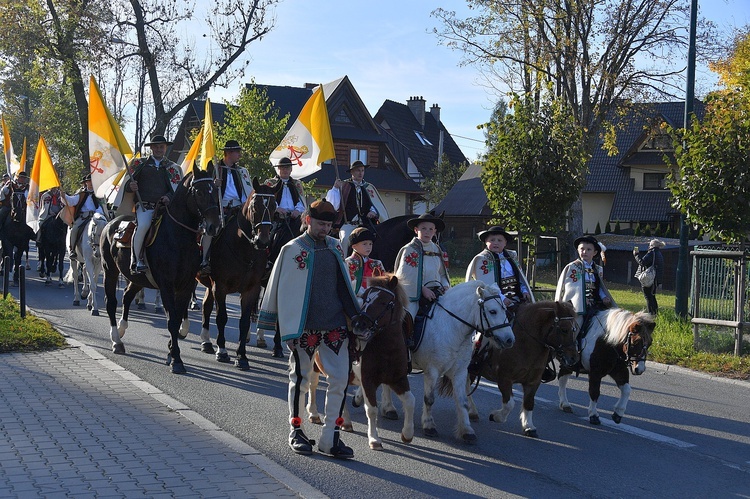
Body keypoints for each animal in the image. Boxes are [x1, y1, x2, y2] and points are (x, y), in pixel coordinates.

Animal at [198, 180, 278, 372]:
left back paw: (206, 342)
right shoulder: (220, 287)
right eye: (255, 206)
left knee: (206, 306)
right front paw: (222, 351)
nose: (263, 241)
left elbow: (244, 322)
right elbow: (222, 317)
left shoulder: (251, 290)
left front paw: (241, 357)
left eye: (274, 206)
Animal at [352, 276, 418, 452]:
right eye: (364, 297)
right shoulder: (368, 380)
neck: (386, 348)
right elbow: (371, 409)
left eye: (383, 302)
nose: (358, 324)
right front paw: (374, 438)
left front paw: (407, 434)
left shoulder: (398, 378)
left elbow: (410, 401)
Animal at [470, 300, 580, 438]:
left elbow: (529, 402)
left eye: (575, 329)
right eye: (564, 329)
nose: (574, 358)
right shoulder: (505, 379)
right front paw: (496, 416)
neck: (525, 342)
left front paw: (528, 426)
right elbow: (510, 404)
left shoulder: (533, 381)